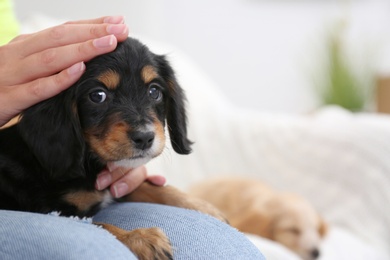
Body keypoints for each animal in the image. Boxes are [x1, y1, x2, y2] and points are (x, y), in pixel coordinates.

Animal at [0, 37, 224, 258]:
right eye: (98, 96)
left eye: (154, 91)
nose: (145, 138)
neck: (89, 164)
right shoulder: (51, 210)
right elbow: (98, 226)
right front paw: (141, 238)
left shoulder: (118, 183)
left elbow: (151, 186)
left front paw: (204, 207)